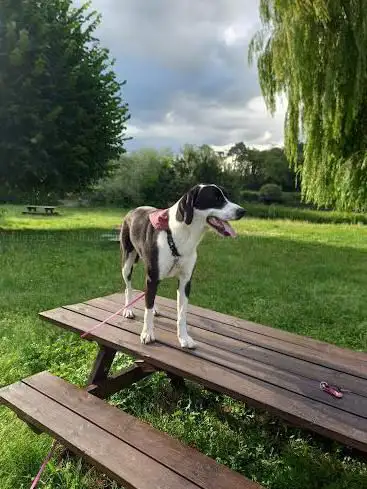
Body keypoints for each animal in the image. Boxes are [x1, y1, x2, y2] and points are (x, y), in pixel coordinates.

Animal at [121, 183, 247, 346]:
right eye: (216, 198)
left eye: (226, 196)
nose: (242, 211)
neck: (180, 235)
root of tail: (133, 210)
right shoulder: (153, 277)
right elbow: (147, 310)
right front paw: (147, 333)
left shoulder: (185, 281)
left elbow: (182, 313)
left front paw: (184, 338)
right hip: (127, 264)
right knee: (128, 287)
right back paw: (128, 309)